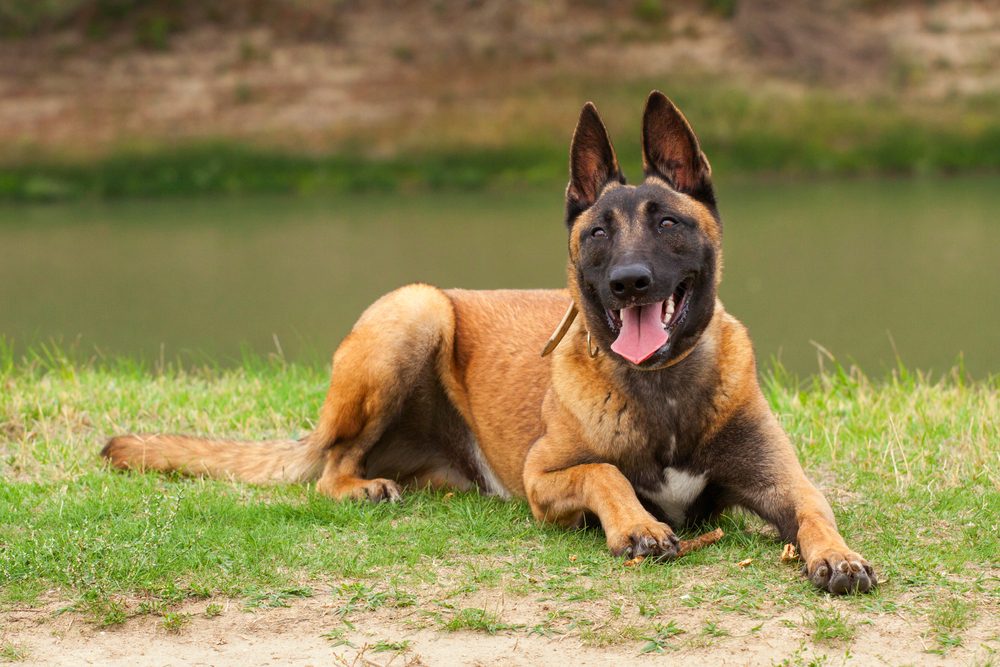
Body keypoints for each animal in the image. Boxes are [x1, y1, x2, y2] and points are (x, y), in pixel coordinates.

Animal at [103, 90, 876, 596]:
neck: (662, 391)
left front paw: (837, 554)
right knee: (331, 466)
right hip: (414, 310)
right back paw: (361, 487)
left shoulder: (782, 481)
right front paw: (638, 526)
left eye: (667, 223)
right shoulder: (544, 477)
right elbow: (606, 471)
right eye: (599, 233)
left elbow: (815, 507)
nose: (628, 283)